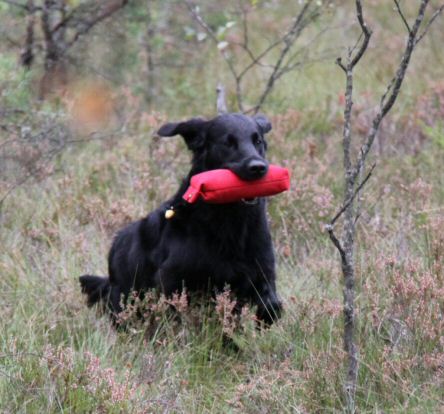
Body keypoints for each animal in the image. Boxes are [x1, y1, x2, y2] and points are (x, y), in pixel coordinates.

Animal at [79, 112, 280, 324]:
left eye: (258, 141)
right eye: (228, 143)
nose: (258, 168)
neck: (231, 222)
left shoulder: (262, 273)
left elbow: (272, 305)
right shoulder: (171, 279)